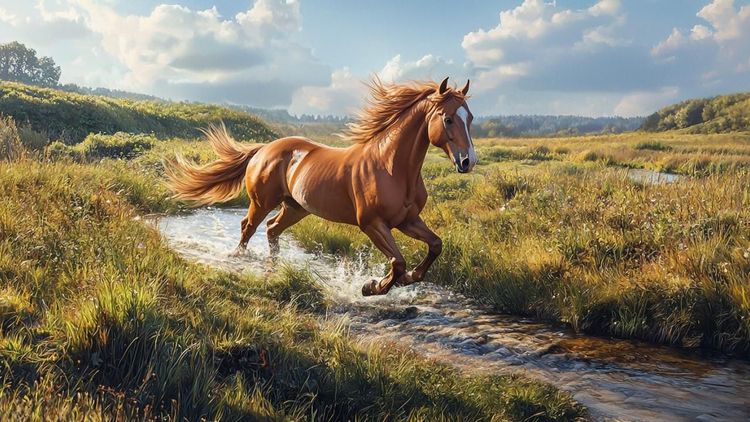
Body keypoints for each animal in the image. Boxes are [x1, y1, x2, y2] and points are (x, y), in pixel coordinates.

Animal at [164, 77, 476, 296]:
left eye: (470, 118)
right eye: (448, 119)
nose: (467, 161)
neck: (391, 168)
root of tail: (264, 148)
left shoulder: (408, 220)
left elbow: (435, 245)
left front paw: (408, 279)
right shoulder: (372, 224)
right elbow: (397, 262)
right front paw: (371, 287)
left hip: (296, 208)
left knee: (272, 230)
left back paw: (275, 265)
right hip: (262, 203)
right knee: (248, 228)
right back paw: (239, 258)